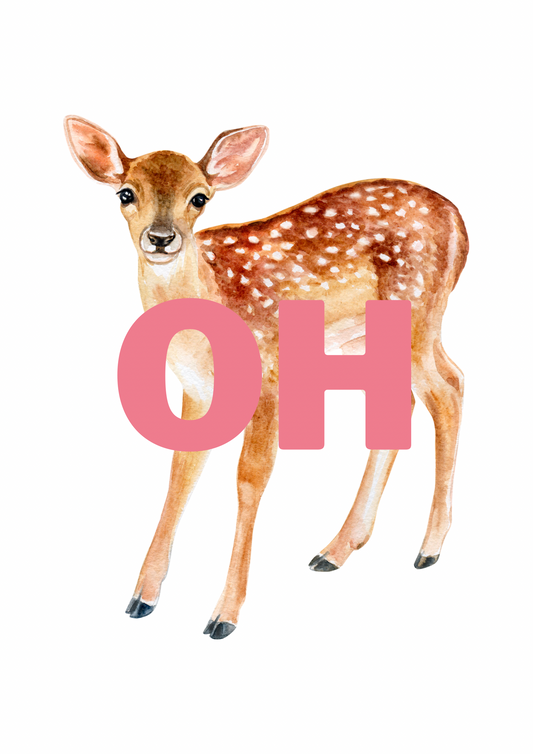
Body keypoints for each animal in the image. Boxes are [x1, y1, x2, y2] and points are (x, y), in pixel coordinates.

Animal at [64, 116, 468, 639]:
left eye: (200, 197)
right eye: (126, 193)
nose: (161, 238)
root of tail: (460, 222)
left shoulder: (269, 374)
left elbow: (250, 478)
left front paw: (223, 616)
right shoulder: (196, 389)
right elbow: (181, 471)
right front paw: (142, 597)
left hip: (418, 311)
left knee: (449, 388)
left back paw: (428, 548)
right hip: (367, 340)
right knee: (412, 398)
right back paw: (336, 550)